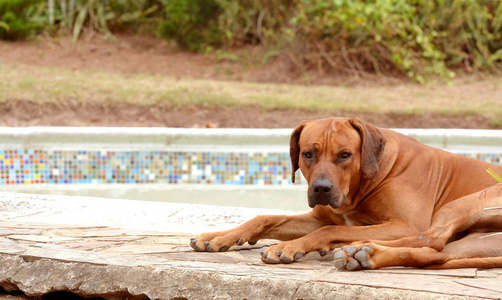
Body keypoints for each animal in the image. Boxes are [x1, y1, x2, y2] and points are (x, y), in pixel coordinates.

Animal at [189, 117, 502, 270]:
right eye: (308, 154)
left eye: (345, 155)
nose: (321, 188)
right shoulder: (319, 216)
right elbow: (264, 218)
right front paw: (218, 236)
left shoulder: (404, 223)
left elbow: (327, 230)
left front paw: (288, 246)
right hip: (477, 242)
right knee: (435, 254)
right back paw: (365, 254)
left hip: (463, 205)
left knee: (432, 240)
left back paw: (357, 246)